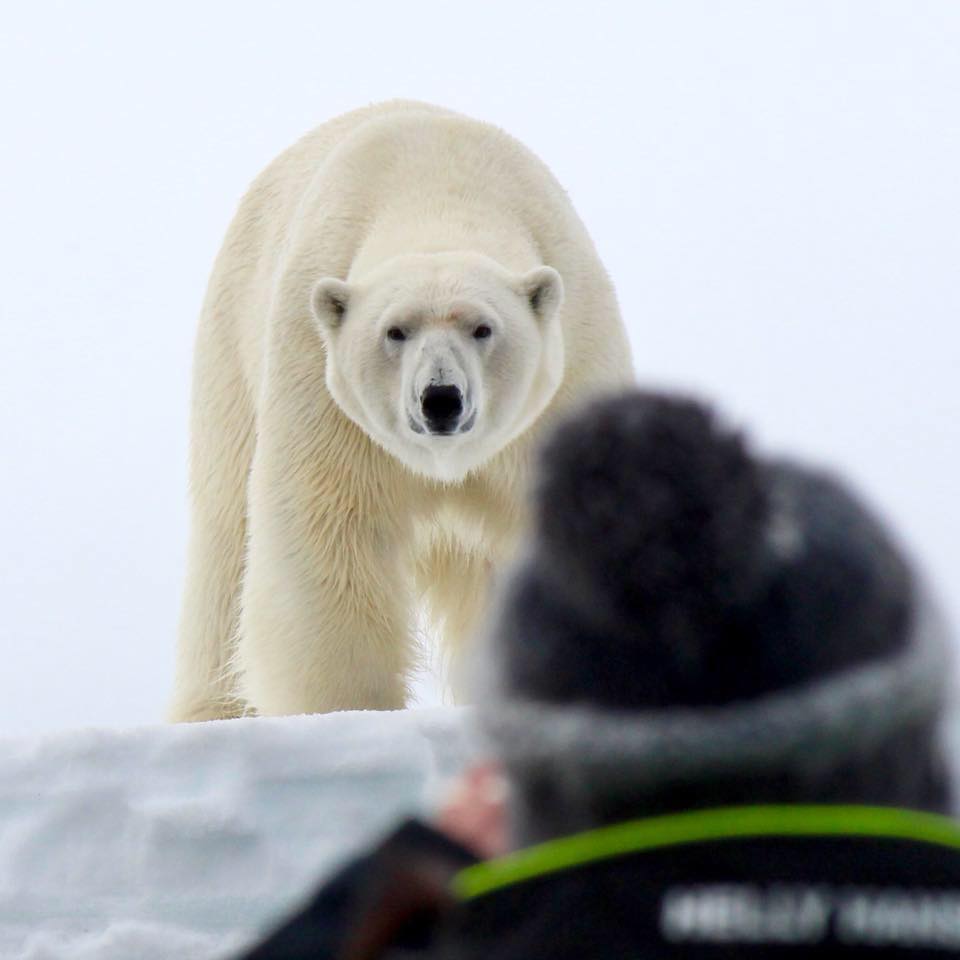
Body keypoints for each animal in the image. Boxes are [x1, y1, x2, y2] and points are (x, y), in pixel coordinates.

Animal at [169, 103, 632, 720]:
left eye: (483, 328)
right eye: (395, 331)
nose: (441, 399)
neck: (437, 195)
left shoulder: (568, 376)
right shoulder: (318, 377)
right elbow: (326, 538)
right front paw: (349, 710)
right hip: (232, 350)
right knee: (225, 540)